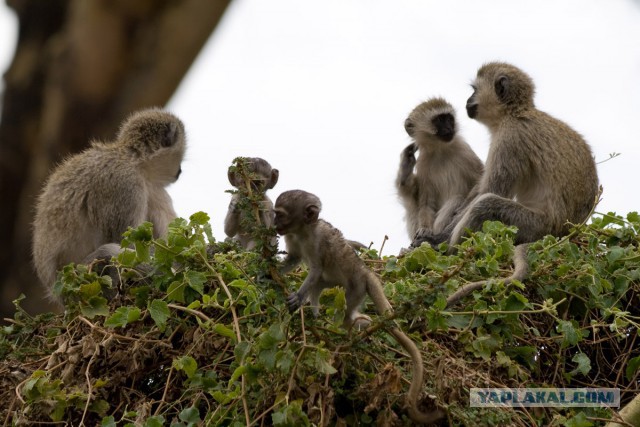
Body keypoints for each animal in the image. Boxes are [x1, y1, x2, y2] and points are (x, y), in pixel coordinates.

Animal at [32, 108, 186, 300]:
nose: (180, 171)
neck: (131, 159)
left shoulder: (152, 189)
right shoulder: (127, 185)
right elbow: (126, 241)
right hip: (78, 283)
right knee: (108, 253)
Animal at [274, 191, 444, 427]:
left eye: (280, 215)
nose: (274, 224)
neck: (303, 231)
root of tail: (366, 271)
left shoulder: (316, 242)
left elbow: (315, 269)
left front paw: (298, 297)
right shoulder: (292, 238)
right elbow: (295, 259)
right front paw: (266, 270)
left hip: (356, 287)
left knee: (344, 313)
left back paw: (360, 327)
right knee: (321, 285)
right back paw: (318, 312)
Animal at [398, 96, 482, 246]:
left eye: (449, 118)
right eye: (439, 120)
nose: (449, 128)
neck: (439, 150)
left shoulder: (464, 151)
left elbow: (482, 181)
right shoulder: (423, 164)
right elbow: (427, 204)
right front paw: (425, 229)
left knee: (456, 199)